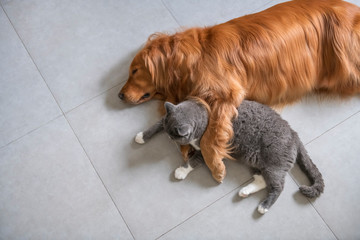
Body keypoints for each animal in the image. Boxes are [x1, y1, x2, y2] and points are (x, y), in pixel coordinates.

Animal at [119, 0, 360, 183]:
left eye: (135, 70)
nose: (119, 95)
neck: (192, 58)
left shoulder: (226, 95)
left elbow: (209, 137)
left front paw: (215, 166)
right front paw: (187, 151)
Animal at [136, 99, 326, 214]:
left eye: (173, 135)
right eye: (168, 132)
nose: (169, 138)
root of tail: (294, 133)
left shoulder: (209, 152)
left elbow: (193, 161)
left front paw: (181, 171)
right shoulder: (164, 121)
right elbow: (156, 124)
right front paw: (142, 136)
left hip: (274, 165)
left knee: (278, 186)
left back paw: (263, 206)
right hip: (257, 162)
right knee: (262, 180)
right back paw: (245, 191)